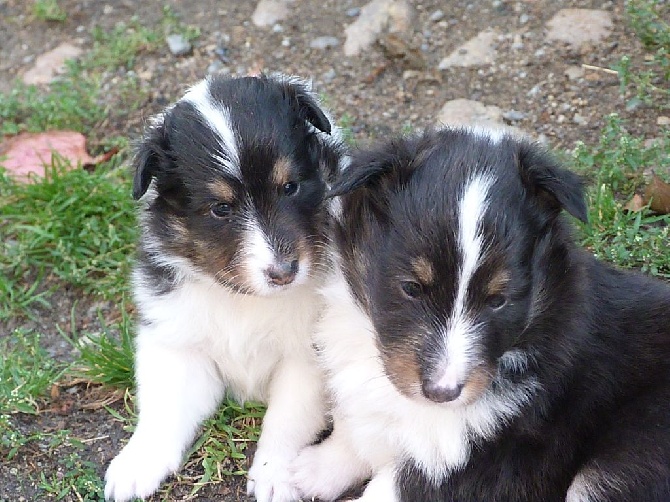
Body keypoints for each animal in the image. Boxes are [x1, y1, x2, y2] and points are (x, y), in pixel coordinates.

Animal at [106, 71, 346, 502]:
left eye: (290, 187)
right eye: (221, 209)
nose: (284, 272)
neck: (244, 299)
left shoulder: (306, 356)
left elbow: (287, 419)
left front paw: (275, 474)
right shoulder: (176, 341)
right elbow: (164, 405)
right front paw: (137, 463)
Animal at [292, 128, 670, 502]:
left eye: (498, 300)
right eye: (411, 288)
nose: (442, 393)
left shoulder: (485, 456)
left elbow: (392, 485)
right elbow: (355, 429)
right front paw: (305, 471)